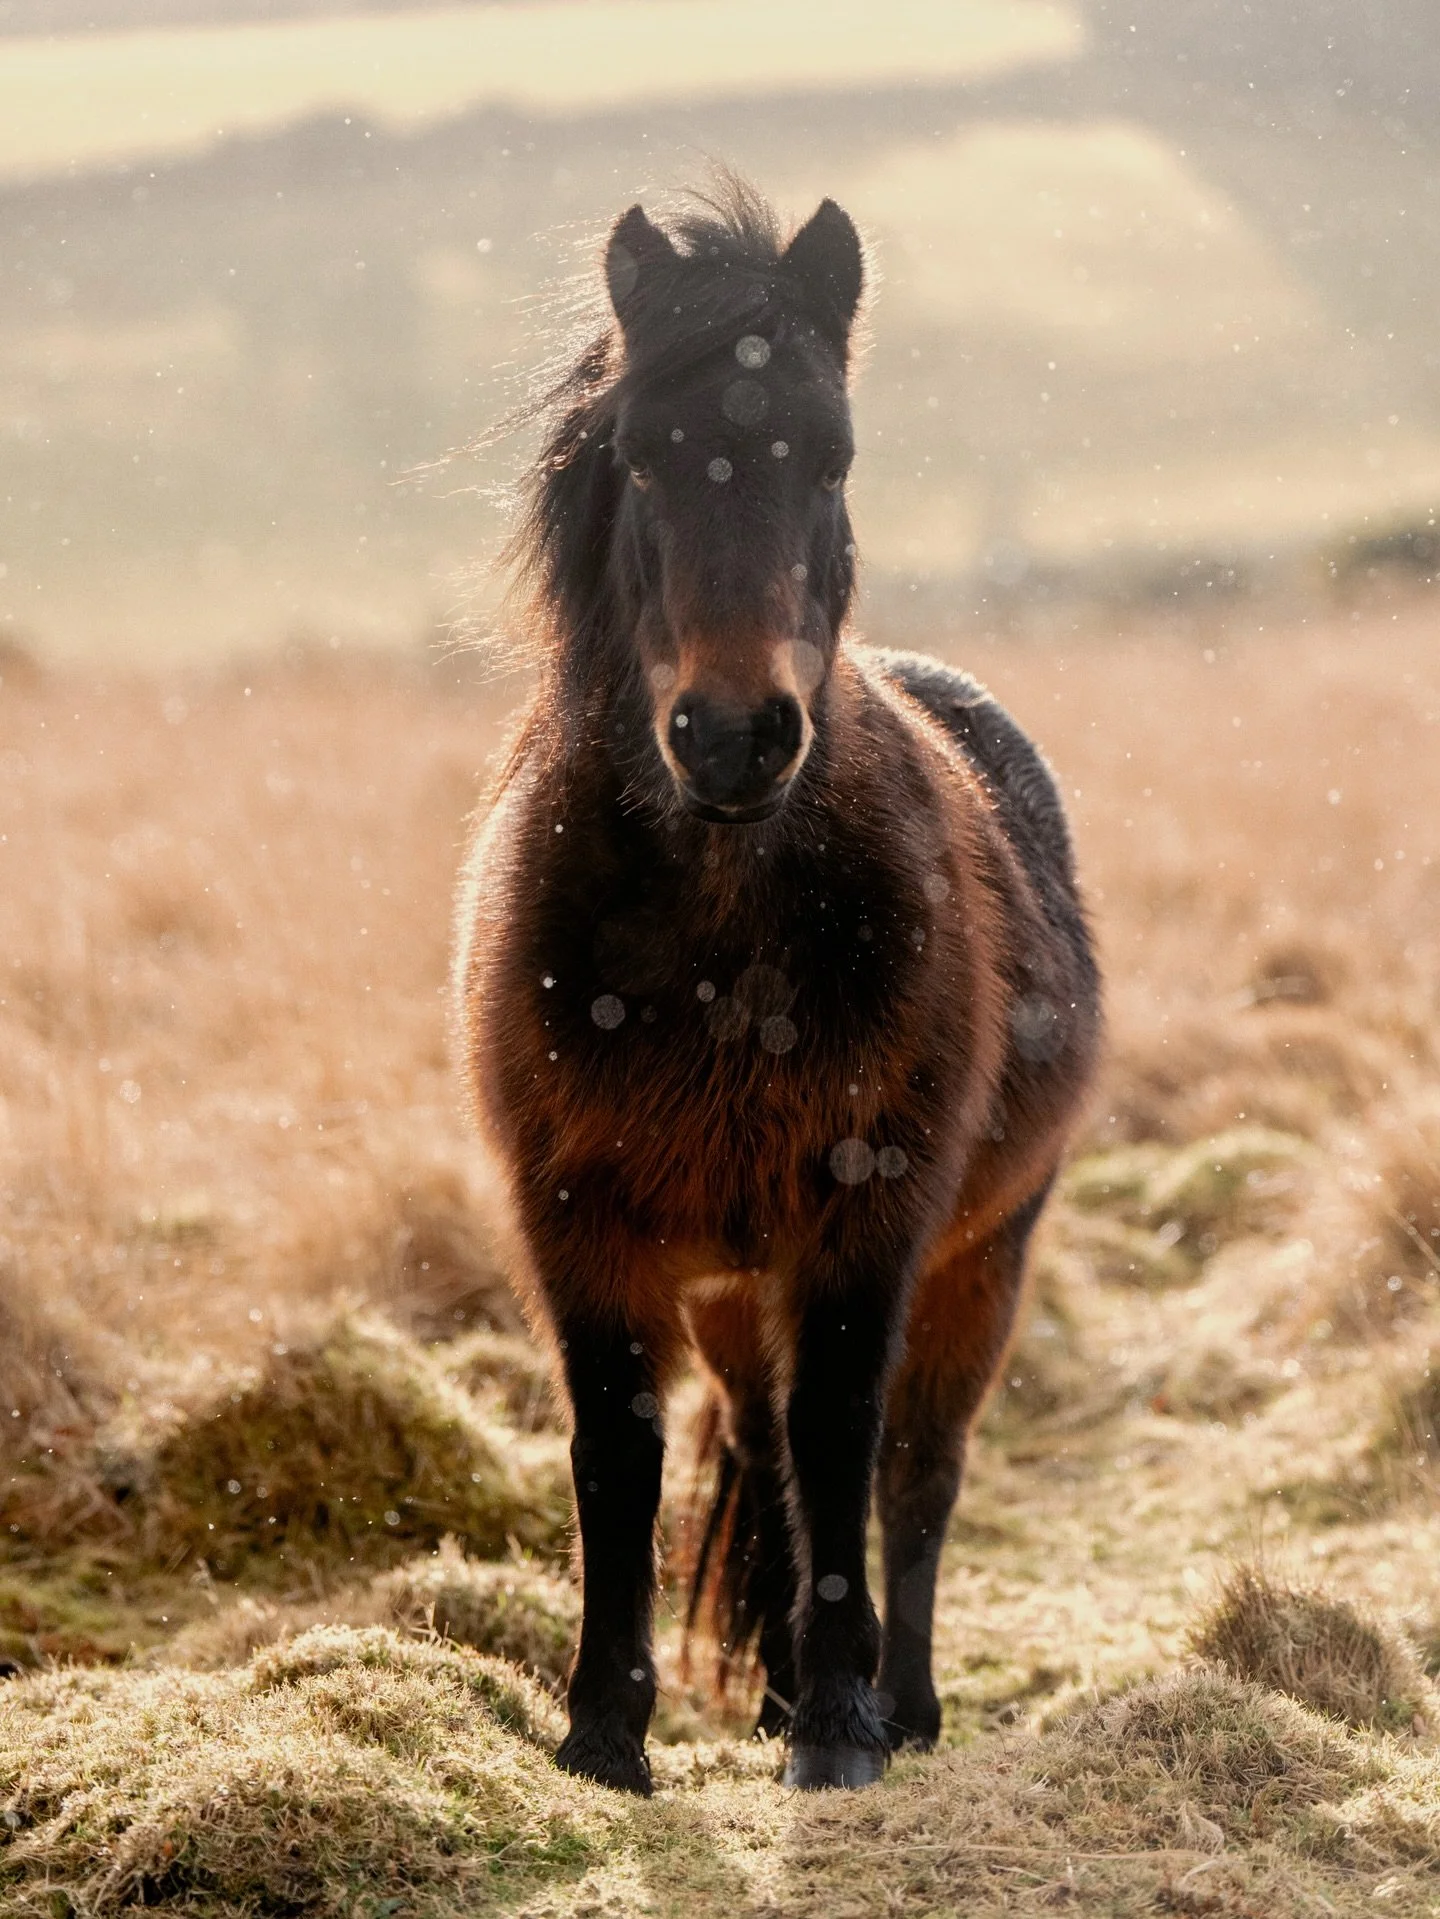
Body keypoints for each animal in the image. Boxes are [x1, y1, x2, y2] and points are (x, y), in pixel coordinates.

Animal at [453, 178, 1101, 1795]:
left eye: (833, 451)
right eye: (641, 455)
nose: (736, 734)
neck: (716, 942)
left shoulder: (868, 1224)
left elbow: (845, 1443)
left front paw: (842, 1726)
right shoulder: (581, 1226)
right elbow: (620, 1456)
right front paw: (605, 1728)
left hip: (982, 1260)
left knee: (917, 1469)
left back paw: (902, 1699)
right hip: (740, 1284)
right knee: (758, 1437)